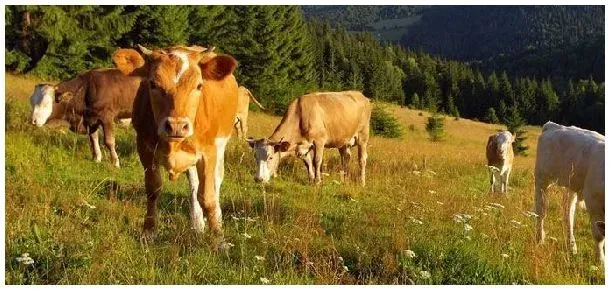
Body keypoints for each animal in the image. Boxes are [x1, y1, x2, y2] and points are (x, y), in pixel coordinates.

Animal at [111, 44, 238, 242]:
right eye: (153, 84)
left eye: (199, 85)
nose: (177, 126)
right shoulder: (144, 148)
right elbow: (153, 189)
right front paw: (149, 231)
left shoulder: (209, 152)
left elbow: (208, 197)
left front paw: (219, 239)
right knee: (193, 186)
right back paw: (197, 225)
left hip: (220, 146)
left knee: (215, 183)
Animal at [532, 121, 604, 264]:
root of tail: (552, 125)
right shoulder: (594, 203)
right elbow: (599, 236)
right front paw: (601, 261)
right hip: (542, 178)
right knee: (541, 211)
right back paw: (540, 239)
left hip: (572, 186)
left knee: (568, 215)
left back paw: (572, 246)